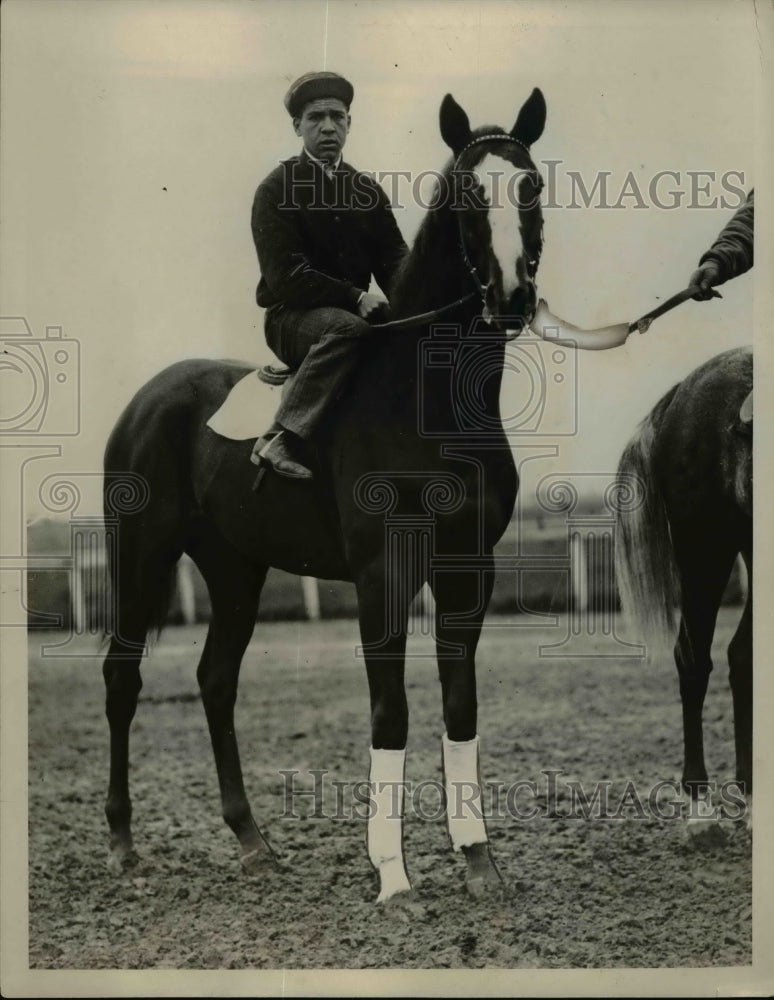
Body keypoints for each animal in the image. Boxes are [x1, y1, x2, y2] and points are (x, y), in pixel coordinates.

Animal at [103, 84, 548, 900]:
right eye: (468, 192)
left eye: (530, 183)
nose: (510, 296)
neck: (429, 400)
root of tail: (152, 397)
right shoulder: (382, 571)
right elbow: (389, 713)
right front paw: (393, 879)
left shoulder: (469, 568)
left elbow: (460, 706)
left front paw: (479, 862)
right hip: (142, 555)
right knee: (123, 678)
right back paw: (122, 843)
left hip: (235, 568)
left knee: (215, 680)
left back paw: (252, 841)